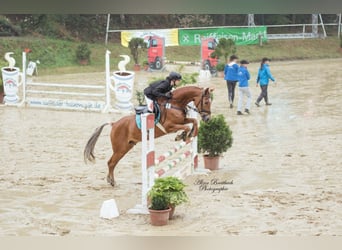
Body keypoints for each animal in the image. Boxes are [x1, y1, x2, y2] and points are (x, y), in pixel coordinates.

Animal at [83, 85, 212, 186]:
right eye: (206, 102)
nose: (207, 118)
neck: (174, 103)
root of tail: (114, 124)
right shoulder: (169, 127)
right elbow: (186, 127)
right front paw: (183, 136)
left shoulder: (182, 120)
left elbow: (193, 122)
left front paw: (192, 133)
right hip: (120, 149)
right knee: (111, 162)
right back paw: (112, 182)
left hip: (127, 147)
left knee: (112, 163)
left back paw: (110, 180)